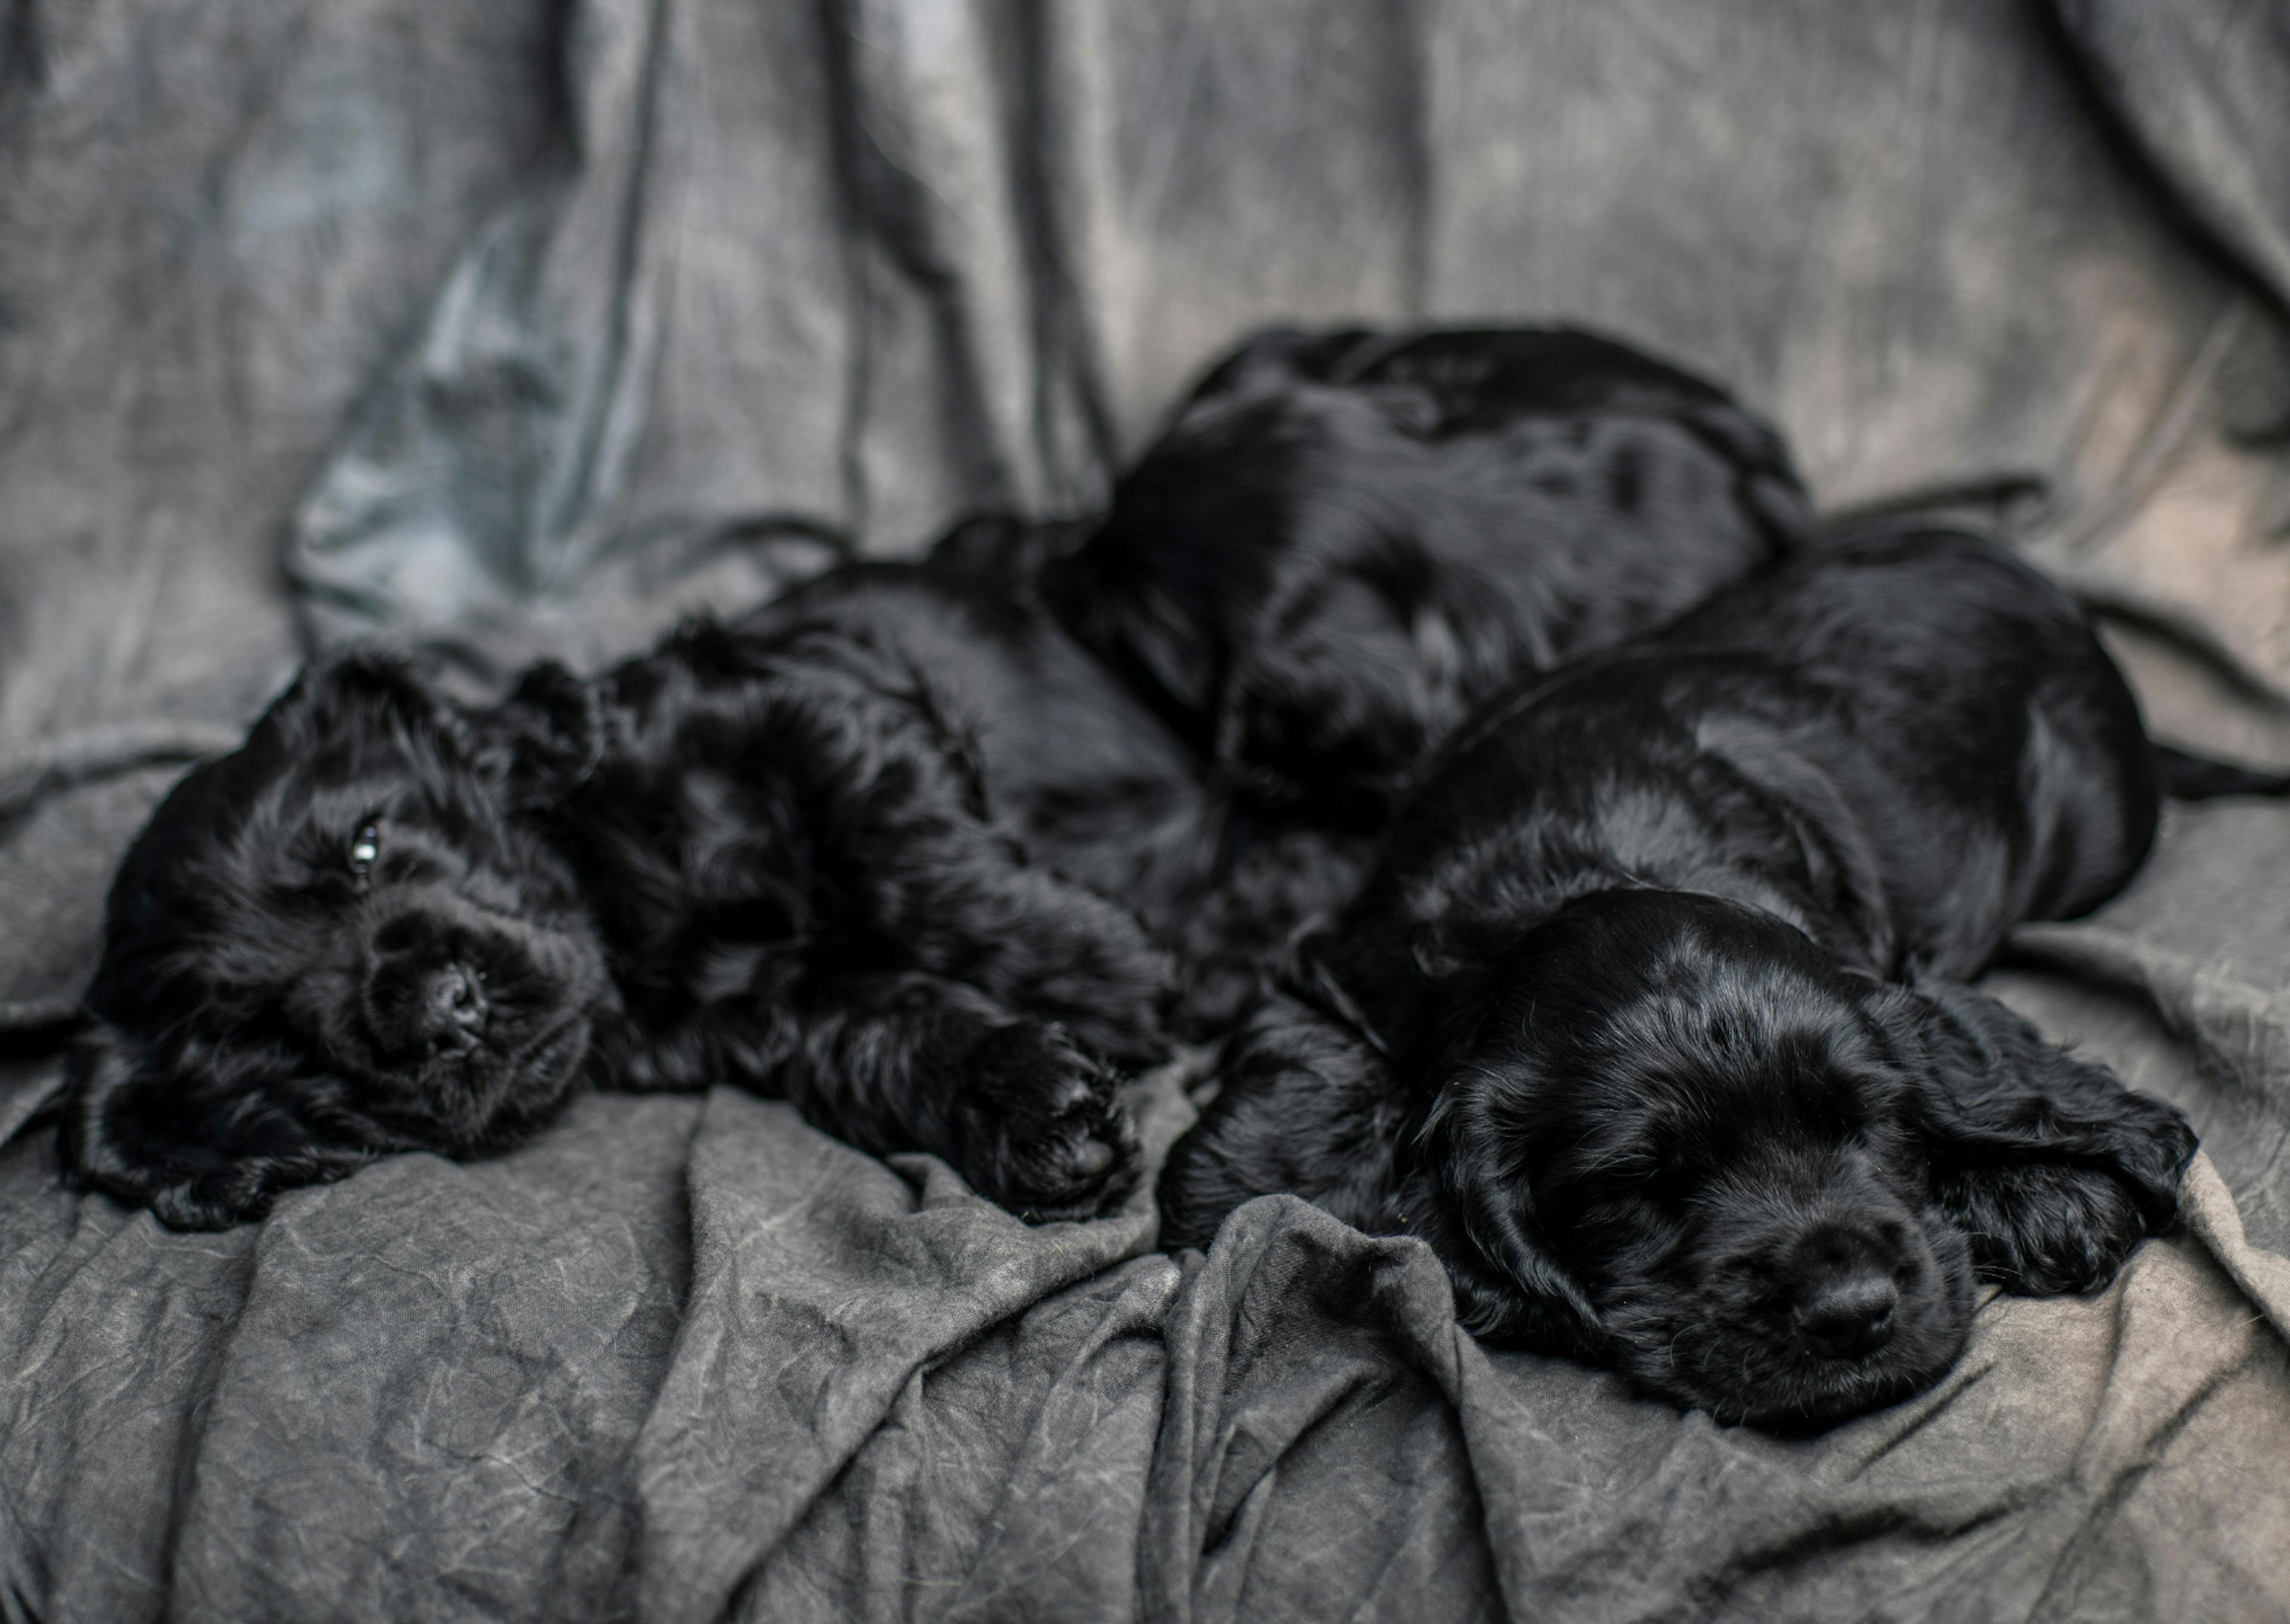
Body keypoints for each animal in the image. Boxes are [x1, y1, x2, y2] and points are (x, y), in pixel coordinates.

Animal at [58, 522, 1200, 1228]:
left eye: (368, 845)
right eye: (263, 1035)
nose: (444, 1010)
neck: (613, 900)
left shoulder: (804, 697)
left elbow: (895, 844)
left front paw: (1093, 963)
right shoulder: (769, 1005)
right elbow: (888, 1030)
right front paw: (1037, 1111)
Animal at [1154, 526, 2262, 1429]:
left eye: (1870, 1124)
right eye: (1640, 1185)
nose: (1851, 1312)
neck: (1591, 847)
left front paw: (2044, 1191)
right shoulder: (1350, 958)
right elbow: (1317, 1058)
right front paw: (1240, 1184)